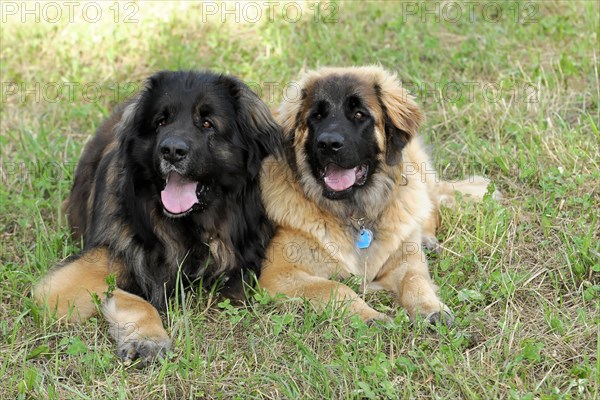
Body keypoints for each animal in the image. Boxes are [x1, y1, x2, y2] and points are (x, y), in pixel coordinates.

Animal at [34, 70, 282, 364]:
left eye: (208, 124)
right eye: (161, 121)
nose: (172, 151)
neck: (184, 228)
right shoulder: (67, 281)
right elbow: (134, 299)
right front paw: (148, 339)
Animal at [258, 67, 496, 324]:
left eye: (359, 114)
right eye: (317, 116)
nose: (329, 143)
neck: (355, 212)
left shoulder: (405, 261)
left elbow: (415, 279)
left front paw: (431, 308)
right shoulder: (278, 272)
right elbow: (333, 287)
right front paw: (370, 317)